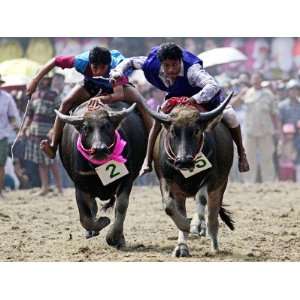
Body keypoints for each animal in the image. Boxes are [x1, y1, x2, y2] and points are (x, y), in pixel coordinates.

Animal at [56, 101, 148, 248]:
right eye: (86, 128)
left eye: (108, 126)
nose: (99, 149)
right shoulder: (80, 185)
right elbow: (85, 217)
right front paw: (103, 221)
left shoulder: (127, 180)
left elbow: (121, 207)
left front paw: (114, 237)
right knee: (92, 207)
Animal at [139, 92, 236, 256]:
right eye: (173, 131)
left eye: (196, 130)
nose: (184, 161)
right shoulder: (165, 179)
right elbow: (168, 206)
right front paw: (186, 225)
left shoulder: (212, 178)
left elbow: (201, 198)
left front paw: (197, 225)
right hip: (180, 192)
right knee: (180, 208)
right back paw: (182, 246)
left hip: (220, 186)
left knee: (213, 215)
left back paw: (214, 244)